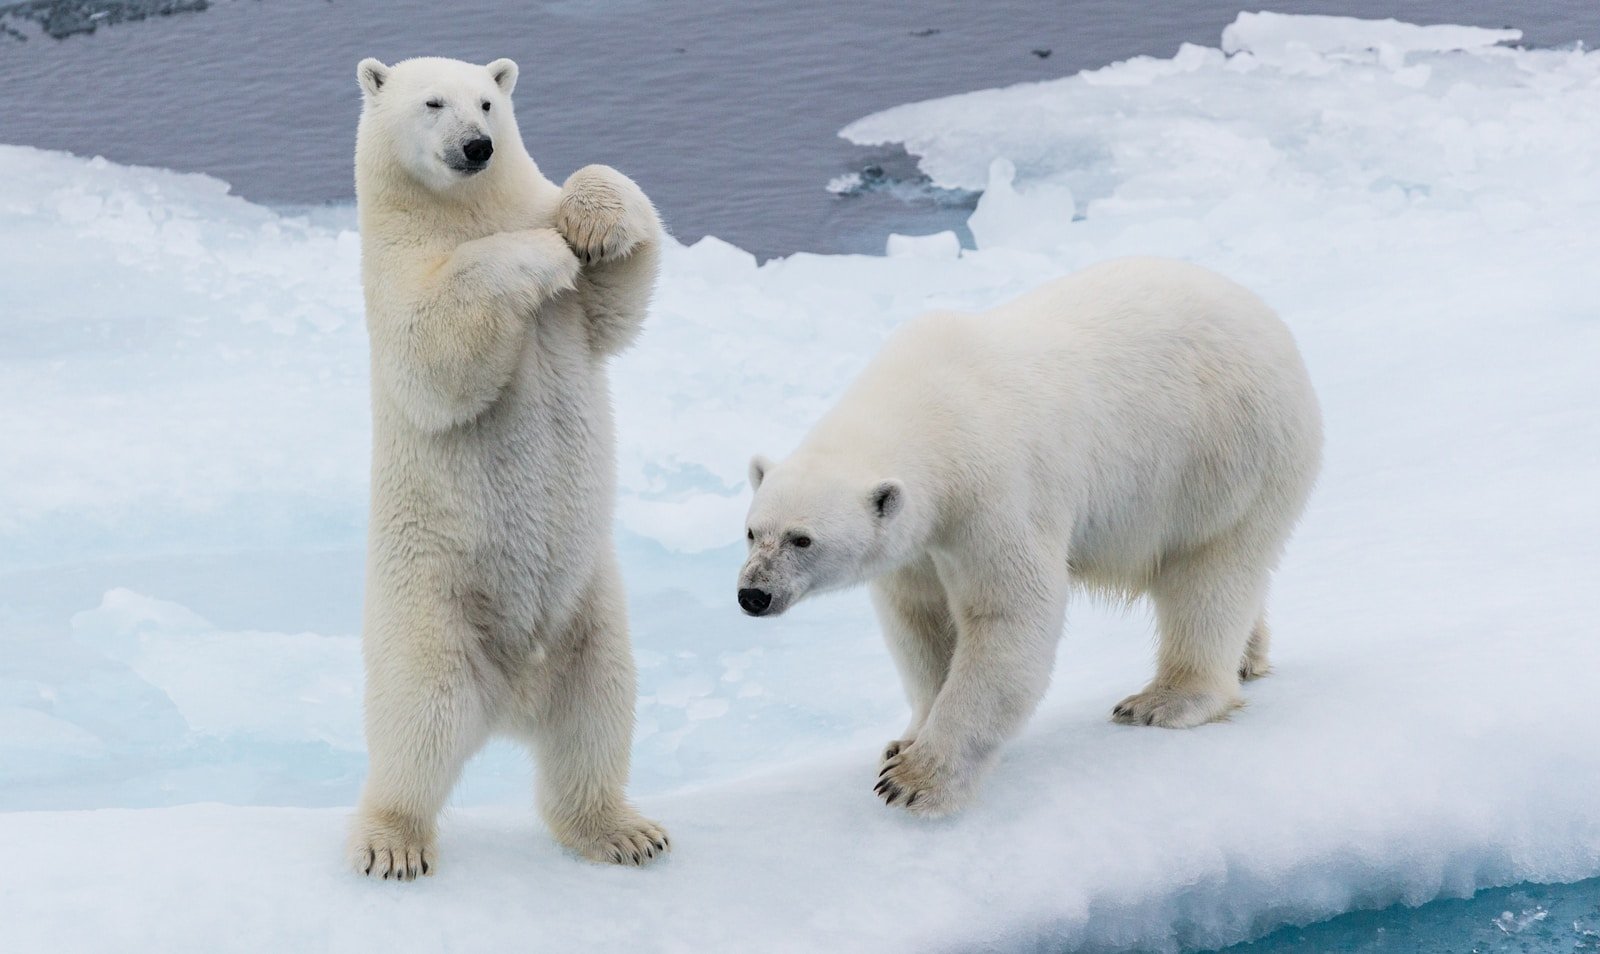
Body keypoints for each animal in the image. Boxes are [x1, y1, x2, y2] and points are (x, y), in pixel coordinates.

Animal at [349, 55, 667, 878]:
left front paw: (589, 223)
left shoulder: (578, 311)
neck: (462, 211)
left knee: (596, 715)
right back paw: (392, 841)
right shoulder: (394, 273)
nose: (477, 147)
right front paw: (542, 253)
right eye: (432, 103)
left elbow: (619, 299)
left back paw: (623, 831)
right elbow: (435, 352)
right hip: (430, 610)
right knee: (417, 726)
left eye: (489, 102)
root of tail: (513, 700)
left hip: (590, 613)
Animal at [738, 257, 1322, 817]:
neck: (930, 407)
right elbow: (920, 620)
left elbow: (1009, 613)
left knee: (1209, 573)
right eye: (751, 532)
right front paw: (904, 741)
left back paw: (1164, 700)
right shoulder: (921, 539)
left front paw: (915, 780)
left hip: (1224, 454)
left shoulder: (994, 490)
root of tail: (1270, 323)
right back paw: (1248, 656)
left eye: (802, 540)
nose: (752, 595)